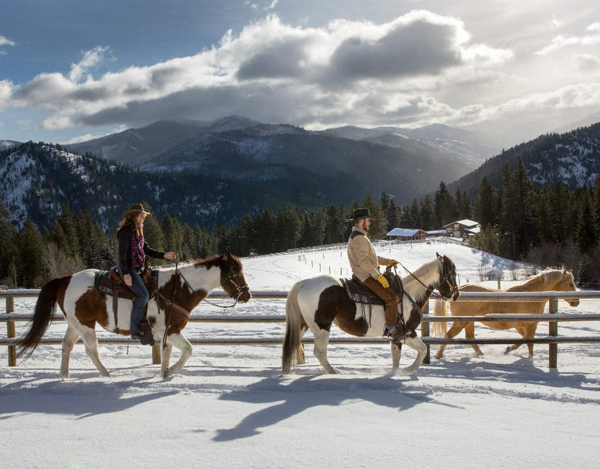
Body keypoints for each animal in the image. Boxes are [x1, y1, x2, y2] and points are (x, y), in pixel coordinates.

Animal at [17, 250, 251, 378]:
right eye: (235, 271)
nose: (247, 295)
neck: (178, 289)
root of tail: (65, 279)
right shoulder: (171, 330)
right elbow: (188, 350)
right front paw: (171, 372)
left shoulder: (167, 331)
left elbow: (166, 353)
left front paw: (163, 374)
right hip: (85, 325)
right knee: (91, 350)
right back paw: (106, 376)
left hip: (75, 324)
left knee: (66, 346)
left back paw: (64, 377)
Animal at [282, 254, 460, 374]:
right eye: (452, 273)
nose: (456, 295)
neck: (410, 294)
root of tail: (304, 283)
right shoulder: (407, 332)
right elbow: (422, 350)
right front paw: (408, 370)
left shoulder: (398, 336)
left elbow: (397, 357)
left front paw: (396, 372)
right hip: (322, 327)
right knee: (319, 352)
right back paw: (334, 373)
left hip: (304, 324)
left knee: (294, 343)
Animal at [434, 266, 580, 358]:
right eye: (571, 284)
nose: (577, 302)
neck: (531, 297)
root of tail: (455, 293)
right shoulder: (531, 325)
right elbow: (528, 342)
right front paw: (512, 351)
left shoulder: (522, 326)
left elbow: (525, 341)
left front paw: (511, 351)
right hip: (461, 322)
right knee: (448, 336)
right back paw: (438, 356)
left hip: (468, 321)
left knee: (470, 338)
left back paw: (481, 355)